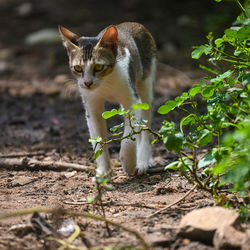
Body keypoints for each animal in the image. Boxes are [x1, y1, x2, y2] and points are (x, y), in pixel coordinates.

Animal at [58, 22, 156, 178]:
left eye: (98, 66)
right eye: (78, 68)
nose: (88, 83)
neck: (105, 83)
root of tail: (133, 23)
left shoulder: (134, 101)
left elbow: (129, 138)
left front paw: (128, 163)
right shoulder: (91, 108)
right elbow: (98, 140)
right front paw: (104, 172)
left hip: (146, 82)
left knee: (146, 126)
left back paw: (143, 161)